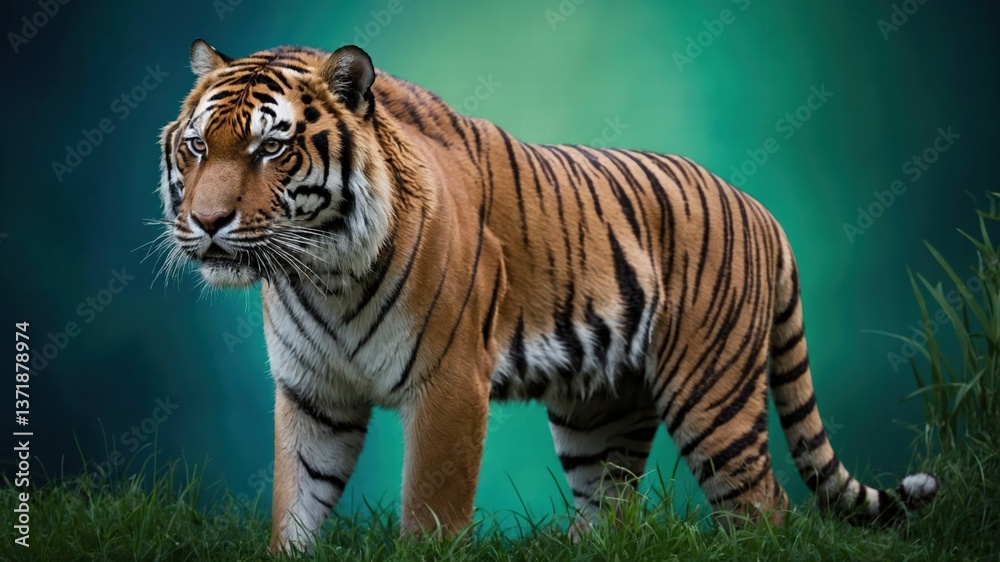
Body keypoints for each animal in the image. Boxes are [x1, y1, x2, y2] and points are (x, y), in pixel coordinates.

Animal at [157, 39, 939, 552]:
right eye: (197, 147)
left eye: (270, 148)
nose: (208, 222)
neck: (320, 273)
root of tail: (762, 209)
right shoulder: (314, 393)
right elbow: (296, 506)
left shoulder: (448, 388)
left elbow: (429, 513)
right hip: (602, 412)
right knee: (610, 509)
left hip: (713, 401)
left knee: (765, 509)